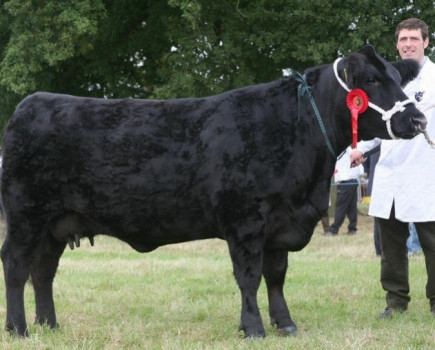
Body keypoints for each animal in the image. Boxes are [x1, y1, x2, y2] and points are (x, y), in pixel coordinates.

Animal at [0, 43, 430, 336]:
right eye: (372, 80)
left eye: (399, 80)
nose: (418, 120)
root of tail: (30, 104)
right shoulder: (245, 220)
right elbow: (249, 276)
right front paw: (253, 328)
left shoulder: (280, 223)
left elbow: (276, 276)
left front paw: (285, 324)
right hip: (26, 215)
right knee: (17, 265)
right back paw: (20, 328)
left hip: (56, 222)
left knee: (44, 271)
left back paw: (50, 324)